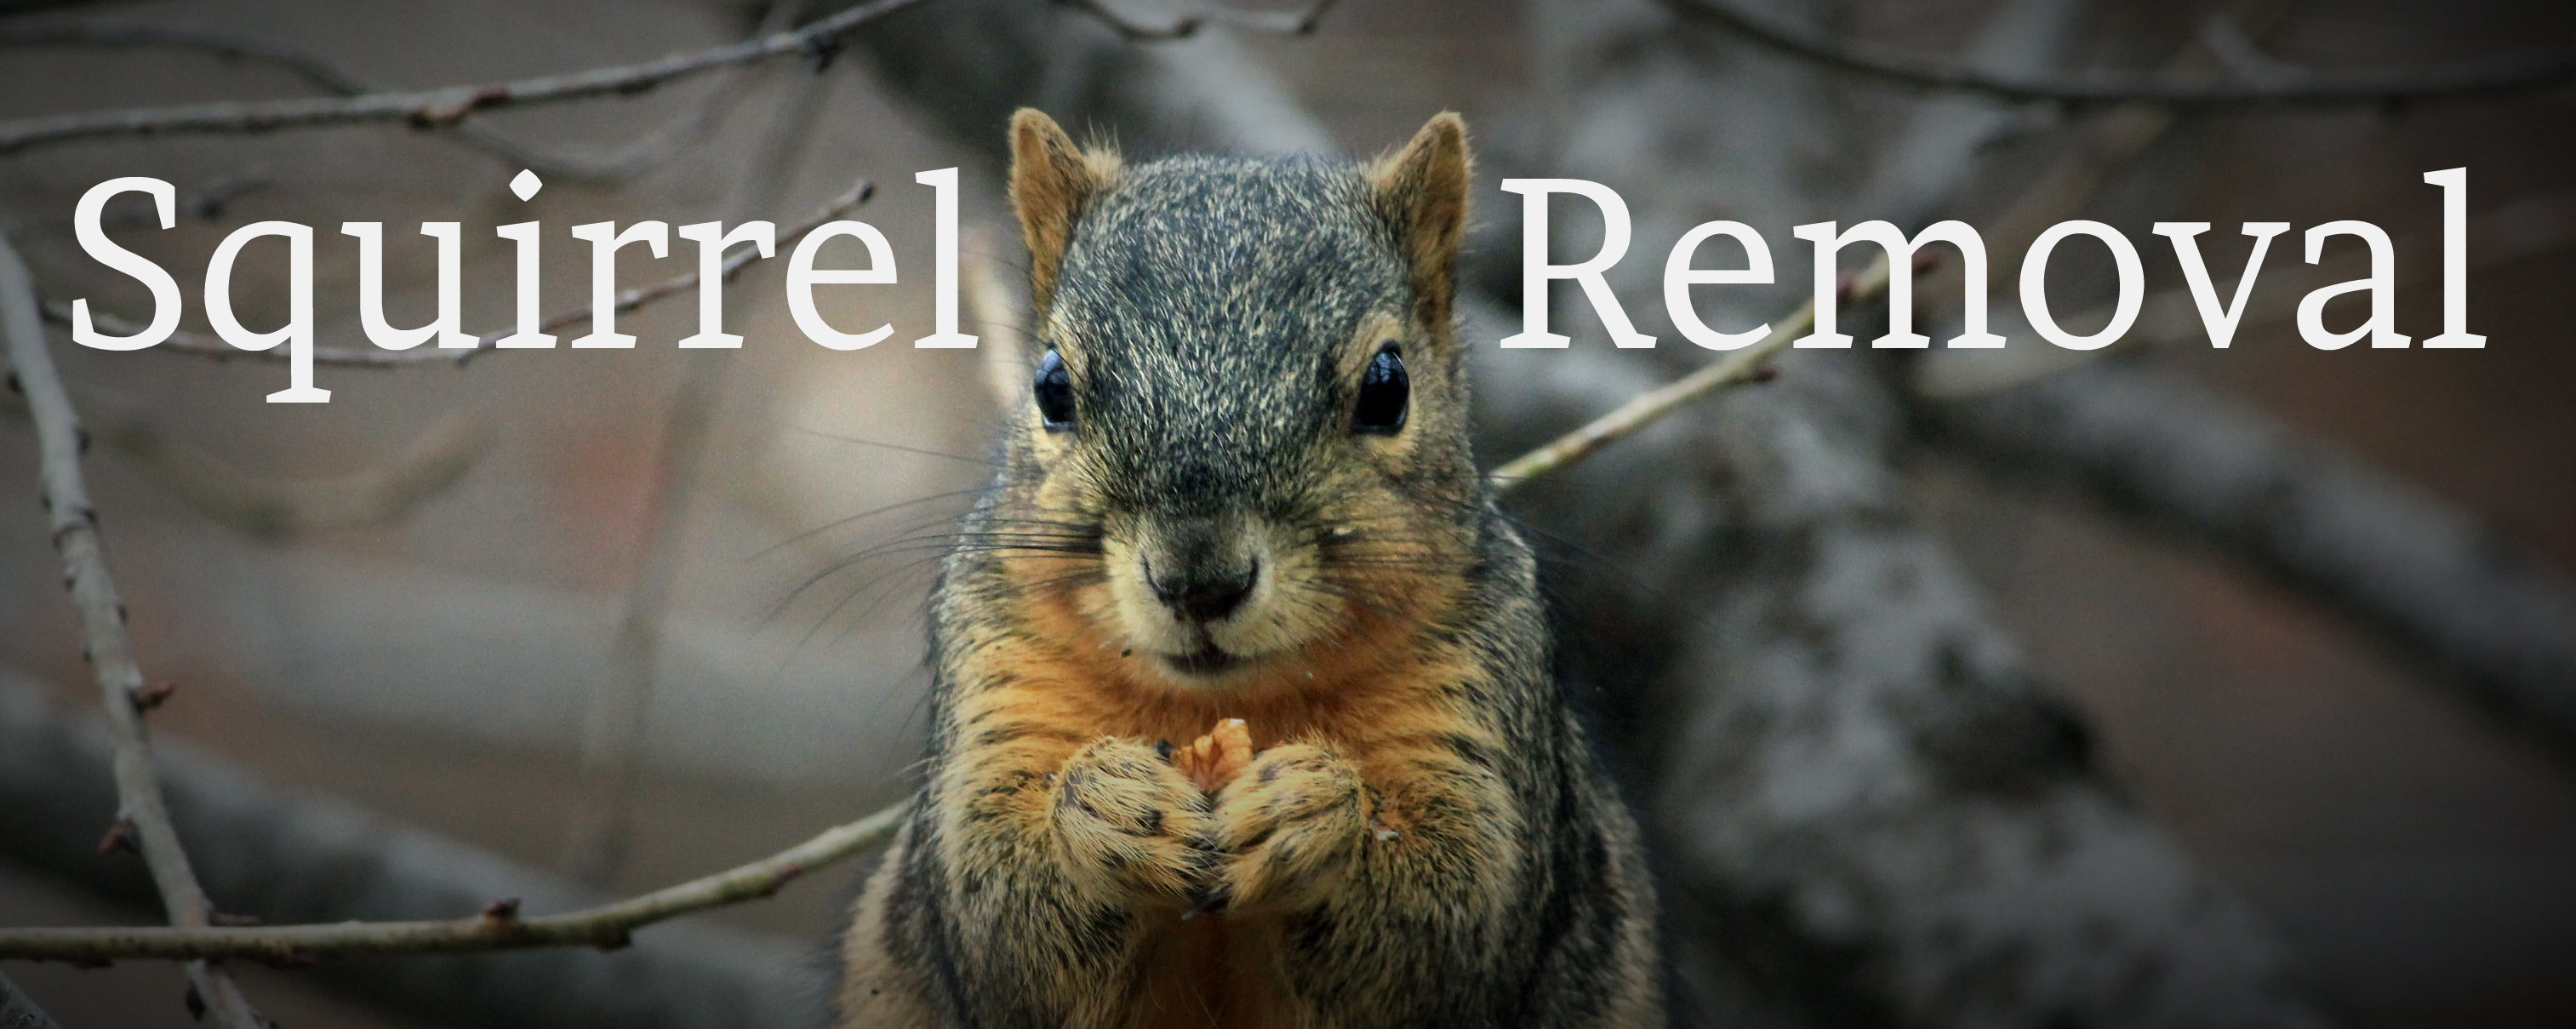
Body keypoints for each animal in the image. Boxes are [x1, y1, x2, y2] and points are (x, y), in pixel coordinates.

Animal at [834, 109, 1664, 1029]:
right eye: (1051, 386)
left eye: (1389, 388)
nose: (1198, 582)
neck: (1228, 704)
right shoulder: (995, 670)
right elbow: (996, 925)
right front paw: (1104, 806)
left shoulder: (1481, 693)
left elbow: (1456, 922)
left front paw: (1315, 811)